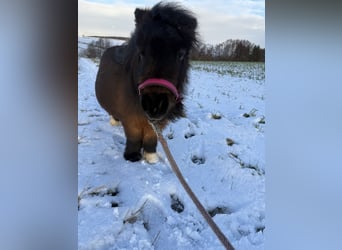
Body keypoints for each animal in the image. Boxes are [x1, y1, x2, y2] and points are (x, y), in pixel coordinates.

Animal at [95, 2, 198, 163]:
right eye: (141, 53)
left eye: (181, 55)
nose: (154, 104)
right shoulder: (130, 119)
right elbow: (134, 136)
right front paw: (132, 156)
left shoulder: (159, 121)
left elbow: (151, 137)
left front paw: (151, 157)